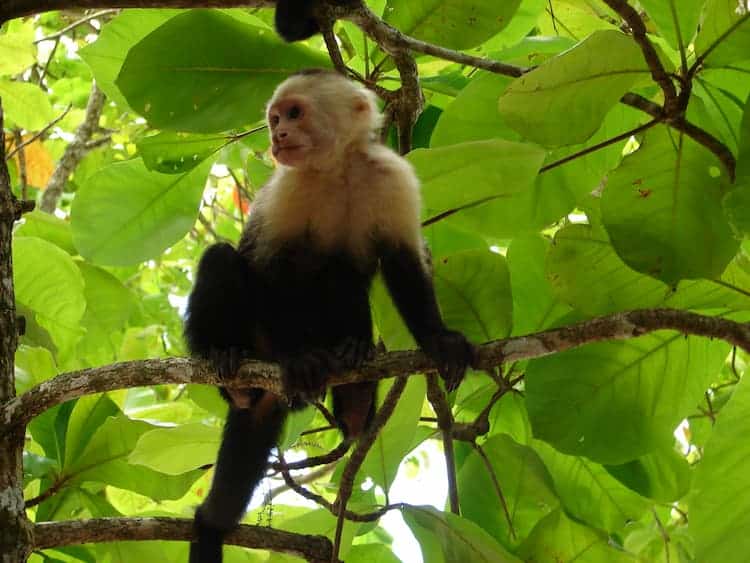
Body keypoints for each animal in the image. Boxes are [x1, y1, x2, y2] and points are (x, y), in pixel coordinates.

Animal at [184, 71, 476, 563]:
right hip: (252, 340)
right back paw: (230, 364)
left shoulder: (392, 177)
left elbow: (402, 263)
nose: (277, 136)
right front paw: (295, 359)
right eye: (275, 119)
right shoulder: (287, 189)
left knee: (343, 276)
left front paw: (439, 340)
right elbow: (268, 270)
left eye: (294, 114)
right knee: (225, 261)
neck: (337, 169)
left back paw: (355, 382)